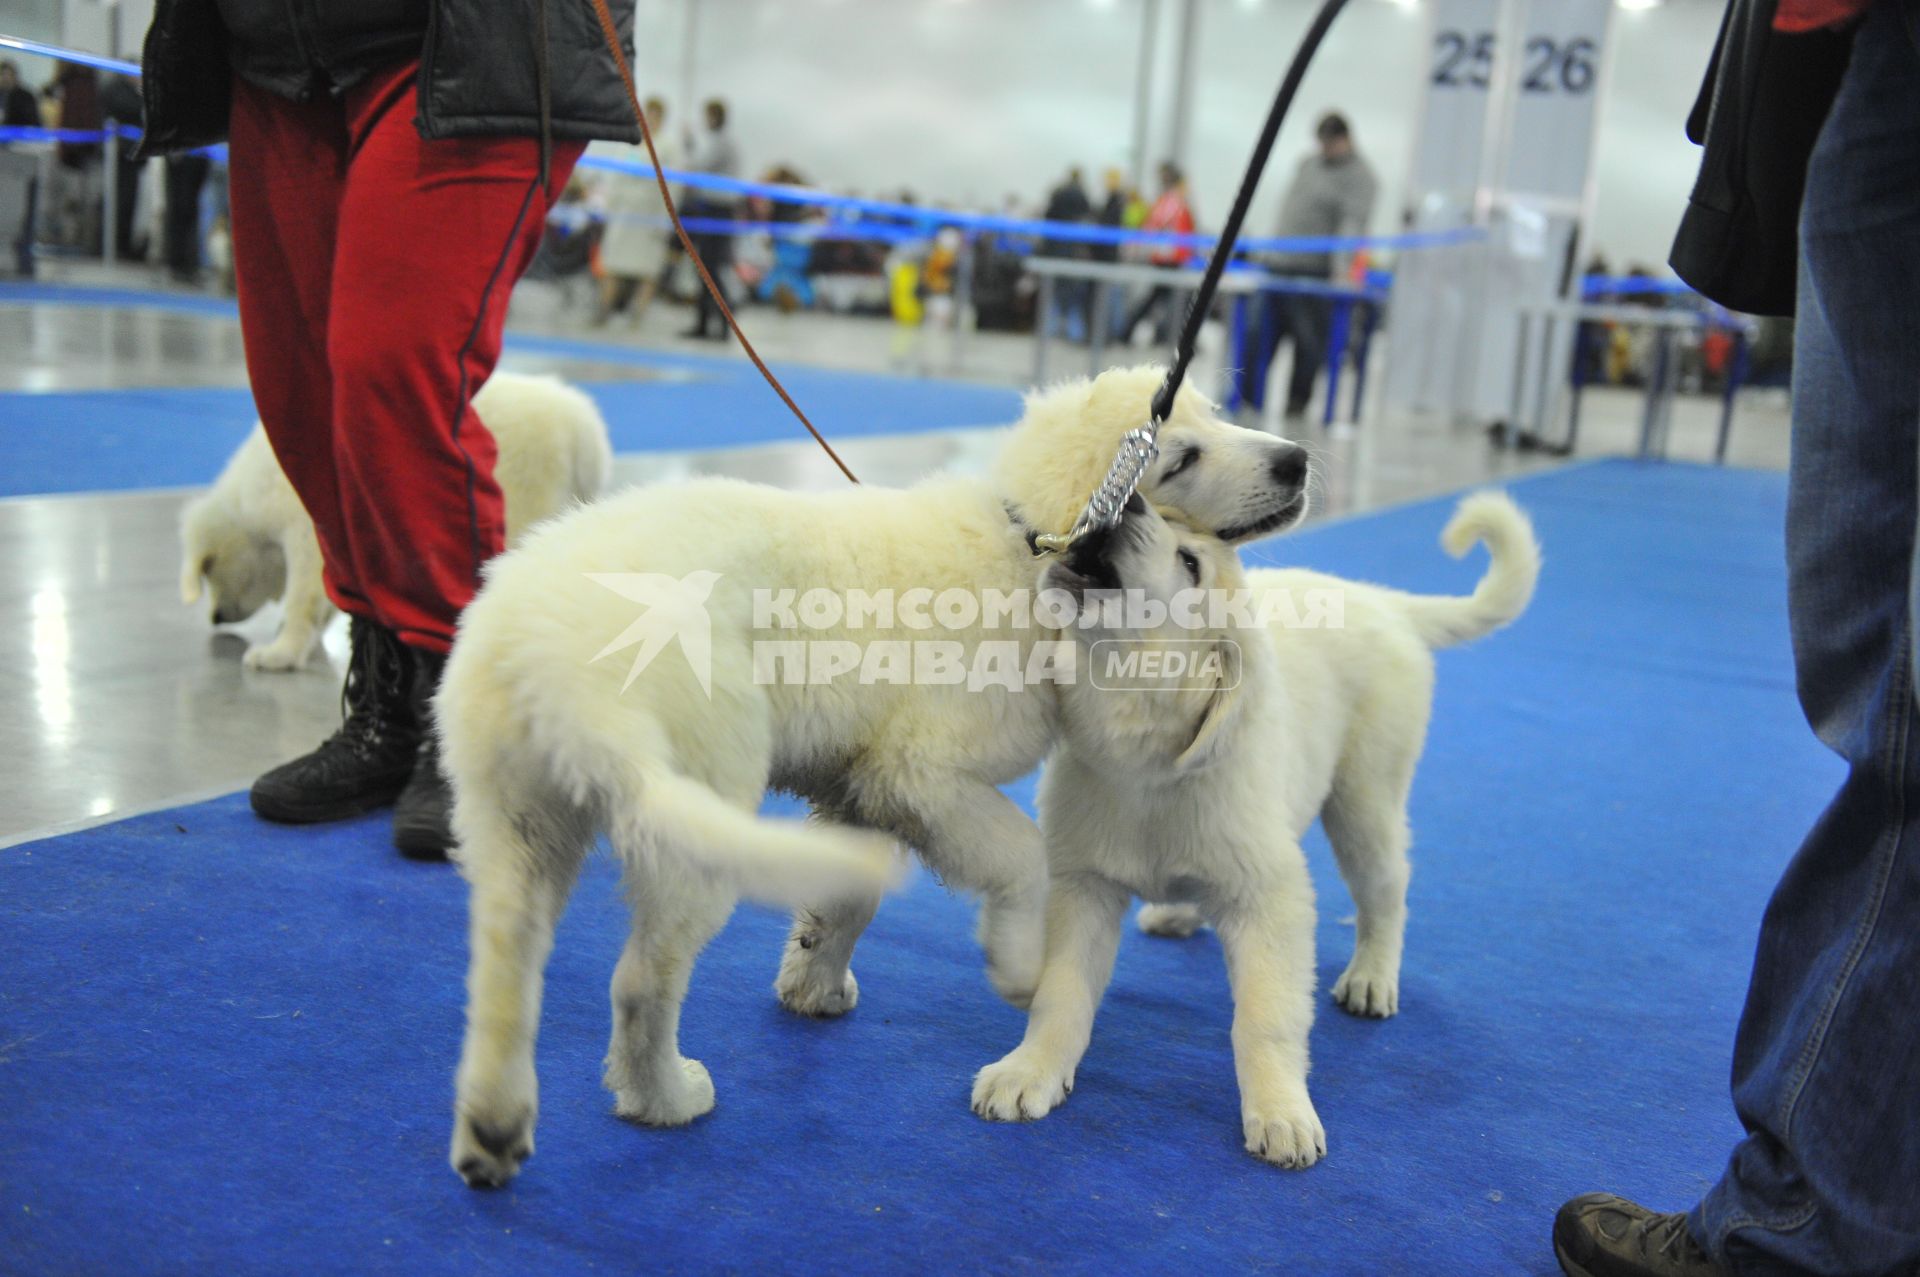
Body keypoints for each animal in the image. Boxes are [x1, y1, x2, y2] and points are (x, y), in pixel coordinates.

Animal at [181, 368, 606, 668]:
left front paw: (281, 653)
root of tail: (582, 425)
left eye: (209, 572)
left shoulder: (307, 536)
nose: (216, 617)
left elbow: (302, 599)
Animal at [975, 487, 1543, 1167]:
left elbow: (1265, 1018)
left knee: (1387, 891)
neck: (1146, 766)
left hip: (1365, 800)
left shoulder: (1270, 899)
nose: (1129, 499)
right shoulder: (1081, 885)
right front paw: (1029, 1070)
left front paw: (1281, 1113)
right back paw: (1178, 912)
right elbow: (1061, 993)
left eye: (1190, 564)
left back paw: (1372, 977)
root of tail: (1379, 599)